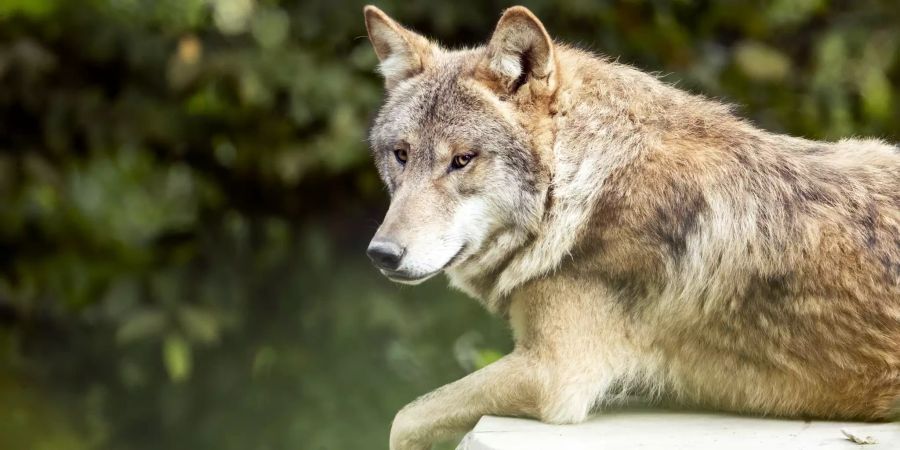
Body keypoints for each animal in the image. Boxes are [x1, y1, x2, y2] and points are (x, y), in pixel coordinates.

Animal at [362, 4, 900, 450]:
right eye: (401, 155)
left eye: (462, 160)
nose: (381, 254)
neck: (580, 183)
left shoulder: (552, 374)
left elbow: (403, 419)